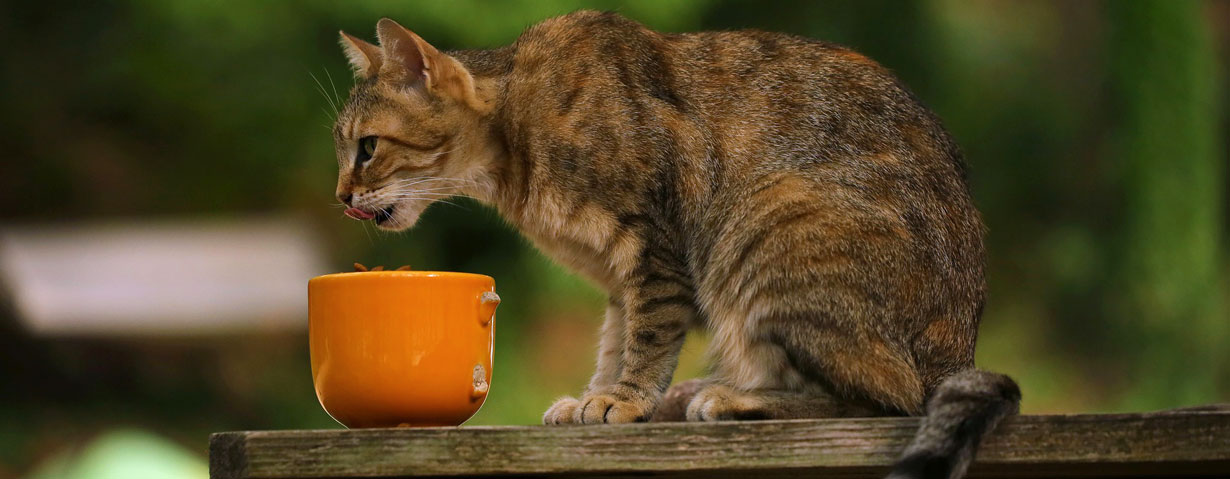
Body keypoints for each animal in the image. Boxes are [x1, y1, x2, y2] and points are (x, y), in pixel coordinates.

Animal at [329, 12, 1018, 477]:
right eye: (346, 148)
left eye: (367, 147)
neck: (515, 142)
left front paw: (625, 400)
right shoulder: (619, 277)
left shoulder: (654, 246)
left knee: (890, 400)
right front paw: (597, 396)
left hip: (769, 221)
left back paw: (733, 399)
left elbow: (649, 336)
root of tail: (957, 351)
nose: (339, 195)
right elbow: (615, 340)